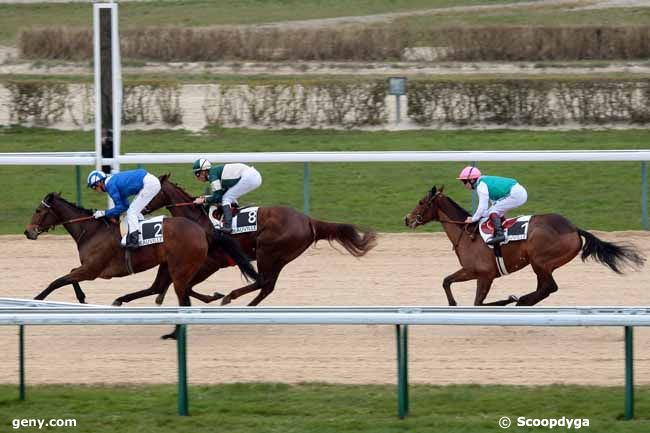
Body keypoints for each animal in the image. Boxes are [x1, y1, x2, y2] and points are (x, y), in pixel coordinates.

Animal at [127, 174, 378, 306]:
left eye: (148, 191)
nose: (140, 208)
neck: (198, 219)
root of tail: (308, 220)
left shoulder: (211, 262)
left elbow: (186, 286)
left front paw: (215, 296)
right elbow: (178, 284)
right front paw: (161, 296)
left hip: (268, 250)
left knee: (263, 281)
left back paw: (231, 297)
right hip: (280, 257)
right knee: (267, 285)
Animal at [404, 185, 644, 304]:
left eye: (421, 202)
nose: (407, 219)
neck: (467, 233)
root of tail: (574, 228)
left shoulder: (482, 273)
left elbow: (473, 300)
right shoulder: (475, 272)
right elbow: (447, 282)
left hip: (540, 261)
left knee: (549, 287)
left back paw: (520, 300)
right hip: (542, 264)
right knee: (545, 289)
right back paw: (522, 300)